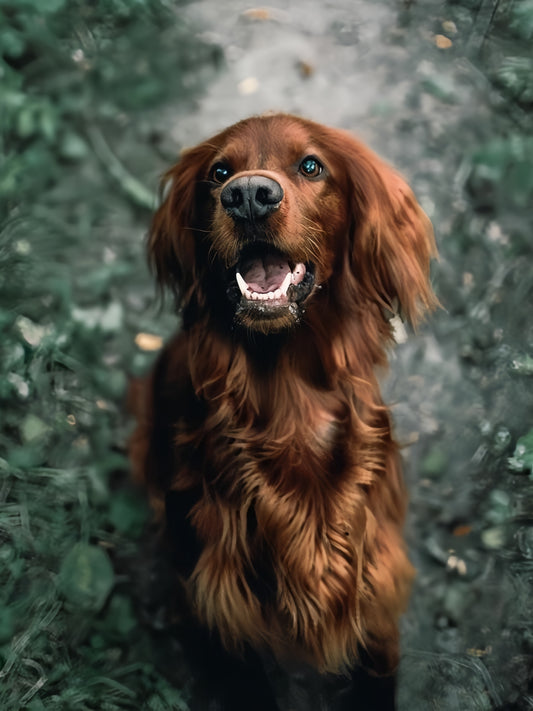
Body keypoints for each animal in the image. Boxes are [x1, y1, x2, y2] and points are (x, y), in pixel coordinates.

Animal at [130, 114, 436, 708]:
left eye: (311, 165)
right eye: (219, 172)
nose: (248, 195)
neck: (291, 398)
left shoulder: (377, 577)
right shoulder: (218, 601)